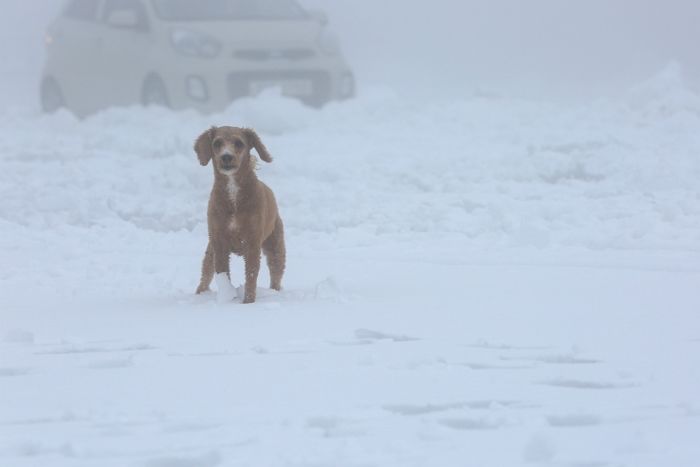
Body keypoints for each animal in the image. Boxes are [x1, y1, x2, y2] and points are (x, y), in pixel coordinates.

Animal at [194, 126, 284, 306]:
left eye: (239, 143)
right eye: (217, 143)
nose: (226, 156)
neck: (233, 193)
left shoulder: (252, 242)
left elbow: (251, 275)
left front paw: (248, 302)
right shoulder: (219, 241)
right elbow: (222, 272)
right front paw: (227, 298)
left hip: (275, 246)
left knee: (276, 275)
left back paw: (274, 293)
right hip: (210, 250)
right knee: (206, 273)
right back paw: (199, 294)